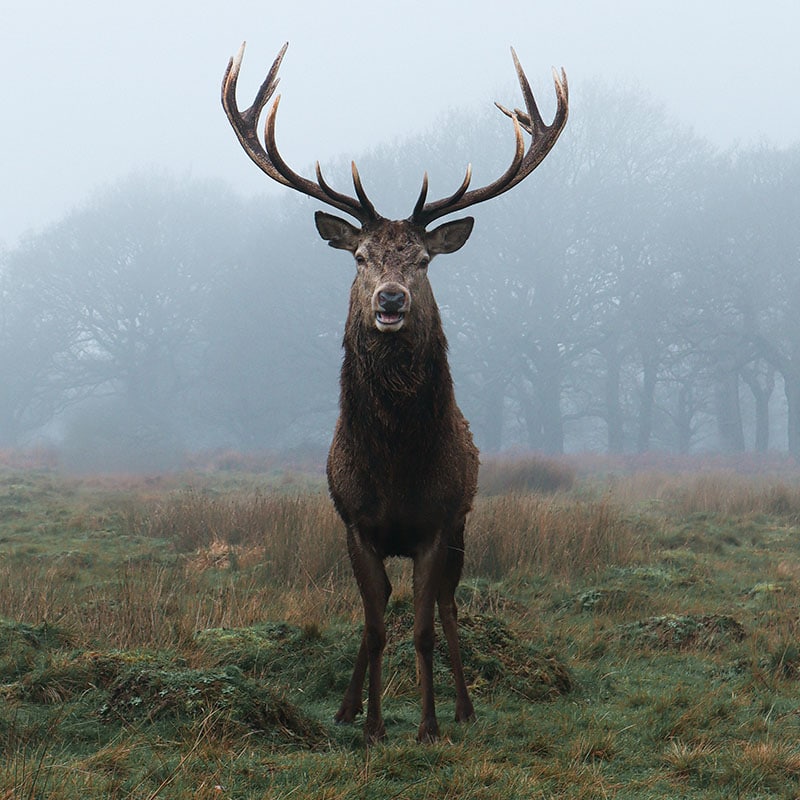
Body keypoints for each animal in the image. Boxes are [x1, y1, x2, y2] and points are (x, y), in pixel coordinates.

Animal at [222, 43, 564, 744]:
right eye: (360, 258)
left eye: (423, 262)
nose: (390, 300)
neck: (398, 466)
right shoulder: (356, 524)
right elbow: (377, 626)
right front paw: (373, 725)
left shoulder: (438, 522)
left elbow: (425, 627)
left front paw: (429, 724)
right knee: (374, 613)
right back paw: (348, 707)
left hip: (463, 526)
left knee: (451, 607)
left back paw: (463, 708)